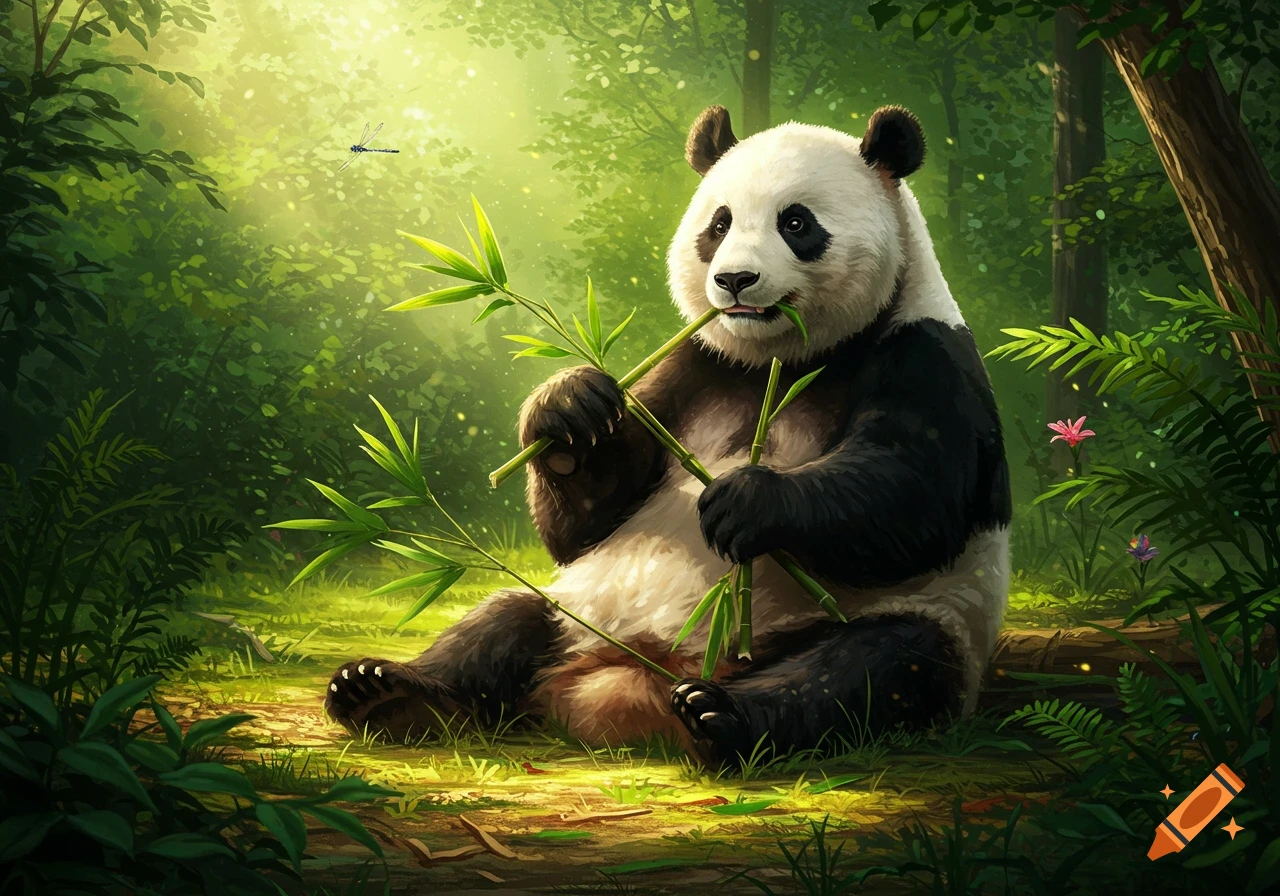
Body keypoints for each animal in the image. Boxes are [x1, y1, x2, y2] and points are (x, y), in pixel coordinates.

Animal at [325, 104, 1012, 770]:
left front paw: (745, 501)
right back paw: (384, 694)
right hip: (578, 612)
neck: (782, 361)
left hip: (904, 618)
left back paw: (721, 720)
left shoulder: (924, 353)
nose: (734, 280)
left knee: (872, 668)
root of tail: (624, 690)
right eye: (719, 224)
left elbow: (914, 498)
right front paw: (569, 408)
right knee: (507, 619)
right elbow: (583, 526)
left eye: (797, 223)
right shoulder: (694, 366)